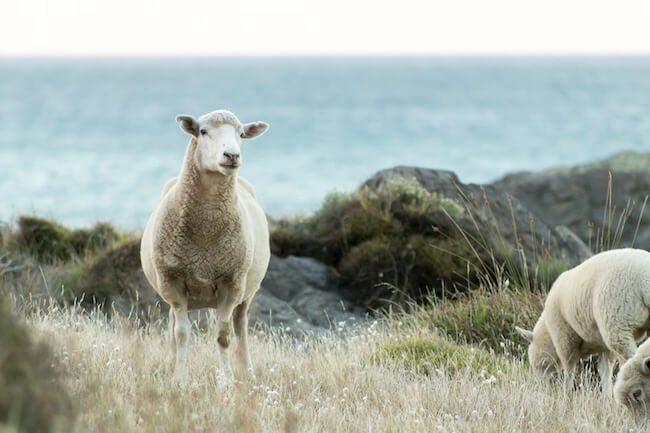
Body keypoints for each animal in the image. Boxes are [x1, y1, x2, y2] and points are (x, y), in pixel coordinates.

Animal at [142, 109, 270, 382]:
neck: (205, 233)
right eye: (203, 131)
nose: (232, 155)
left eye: (241, 133)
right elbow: (181, 334)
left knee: (241, 328)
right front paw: (179, 380)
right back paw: (171, 365)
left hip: (246, 292)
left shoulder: (231, 283)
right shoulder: (173, 281)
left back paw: (247, 373)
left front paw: (226, 381)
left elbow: (223, 336)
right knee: (173, 327)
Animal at [516, 246, 650, 392]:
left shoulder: (564, 337)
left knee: (629, 357)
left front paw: (566, 392)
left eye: (533, 363)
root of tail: (644, 278)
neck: (549, 332)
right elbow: (604, 369)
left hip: (616, 319)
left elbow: (569, 367)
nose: (538, 386)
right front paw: (607, 394)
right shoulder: (602, 344)